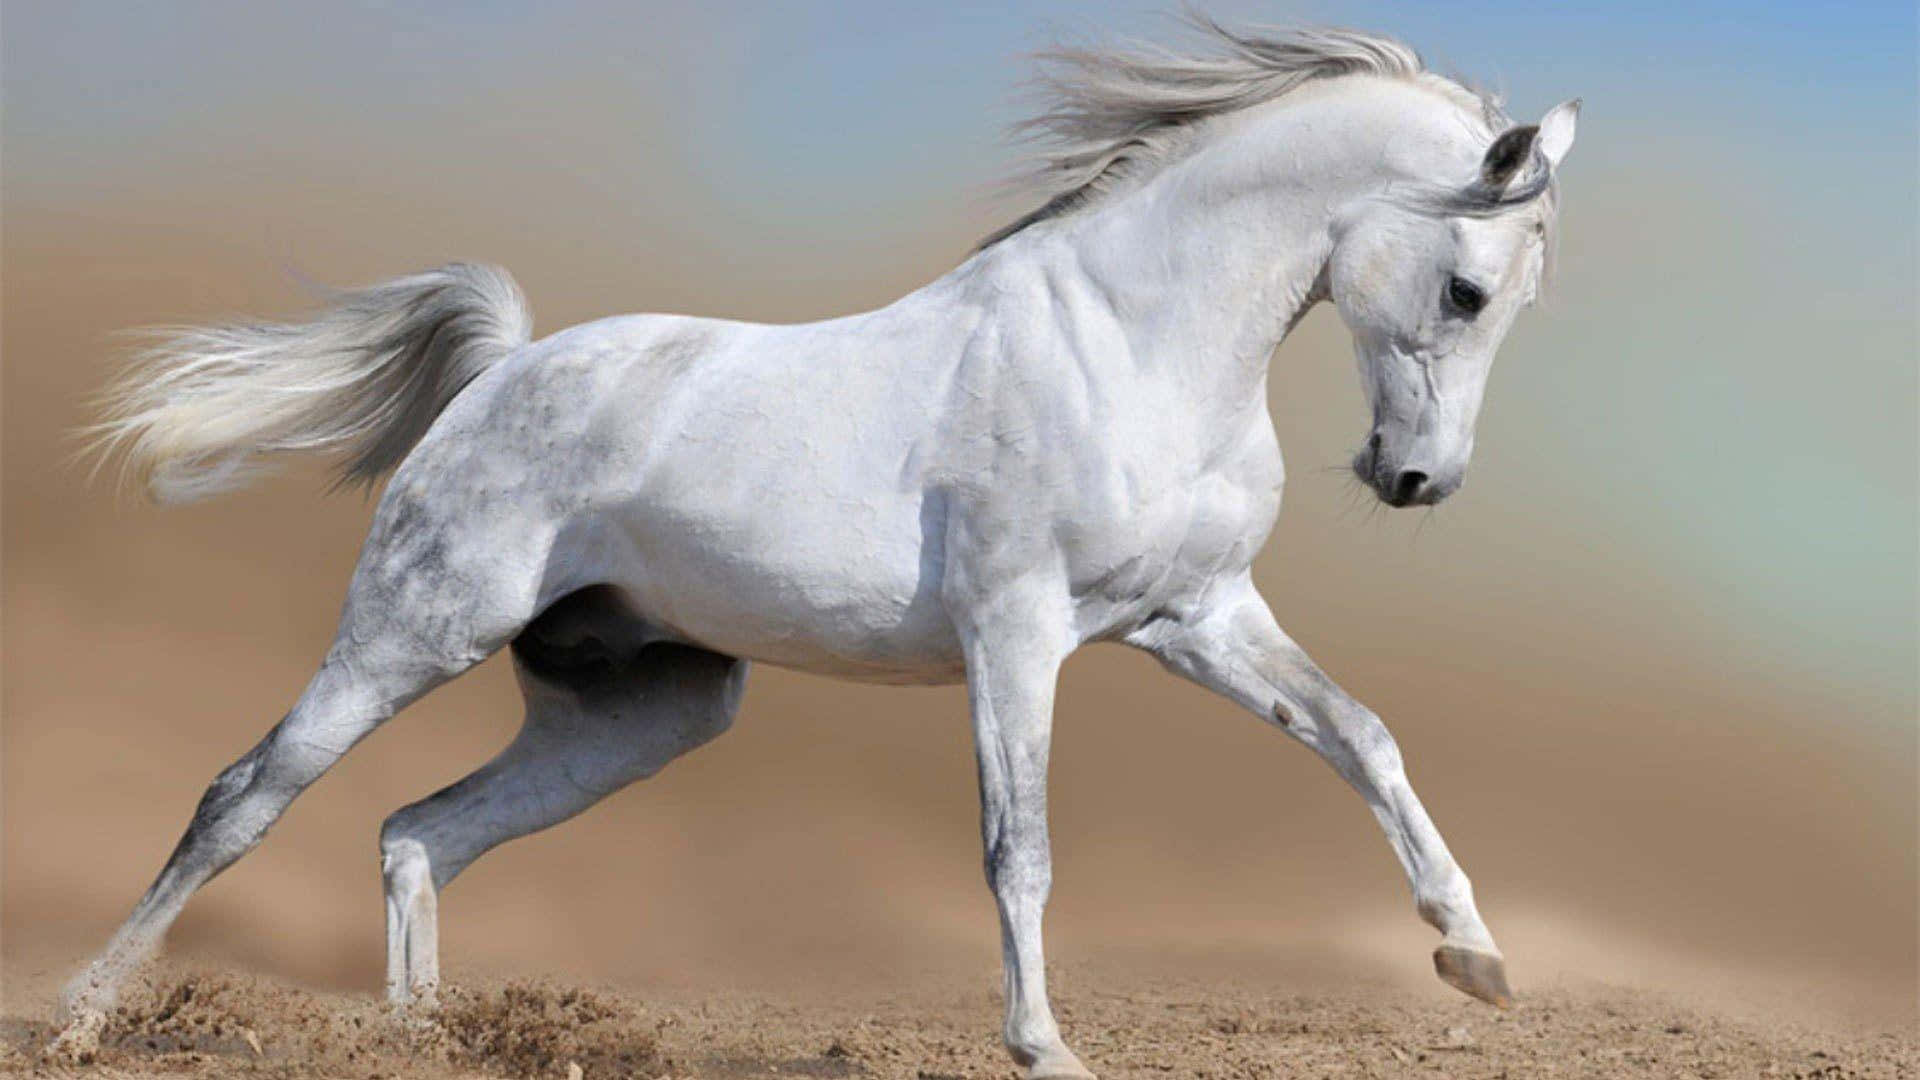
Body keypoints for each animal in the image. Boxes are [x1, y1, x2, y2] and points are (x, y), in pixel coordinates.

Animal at [56, 18, 1577, 1077]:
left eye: (1513, 303)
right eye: (1467, 288)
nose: (1415, 479)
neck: (1131, 340)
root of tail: (501, 371)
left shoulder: (1196, 617)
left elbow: (1361, 737)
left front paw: (1477, 959)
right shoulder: (1015, 631)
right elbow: (1018, 847)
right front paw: (1046, 1047)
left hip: (642, 710)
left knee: (418, 833)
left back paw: (423, 1038)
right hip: (412, 631)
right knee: (246, 797)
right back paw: (81, 1015)